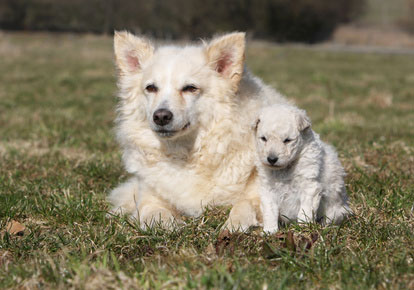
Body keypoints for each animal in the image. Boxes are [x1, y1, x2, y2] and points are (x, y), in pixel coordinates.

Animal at [106, 31, 288, 230]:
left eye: (190, 88)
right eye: (151, 88)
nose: (161, 116)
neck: (185, 152)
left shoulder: (261, 194)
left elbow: (243, 206)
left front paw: (232, 226)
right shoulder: (149, 196)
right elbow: (153, 211)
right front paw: (166, 225)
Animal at [254, 104, 350, 233]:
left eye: (287, 140)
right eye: (264, 138)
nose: (272, 159)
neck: (286, 168)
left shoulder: (309, 186)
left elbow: (305, 210)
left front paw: (303, 228)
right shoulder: (268, 189)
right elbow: (270, 211)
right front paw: (269, 231)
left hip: (336, 210)